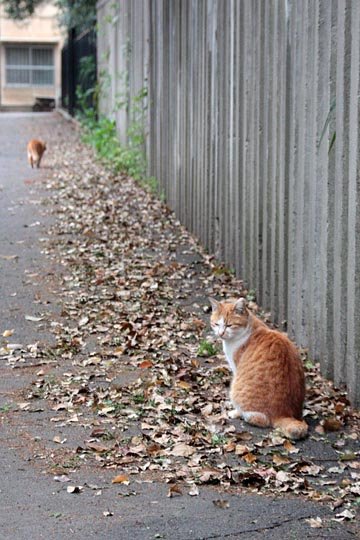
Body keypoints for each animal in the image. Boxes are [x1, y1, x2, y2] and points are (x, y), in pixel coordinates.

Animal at [210, 298, 308, 440]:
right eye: (216, 324)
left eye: (229, 325)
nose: (220, 333)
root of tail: (284, 413)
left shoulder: (236, 368)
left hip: (238, 388)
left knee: (261, 419)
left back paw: (238, 413)